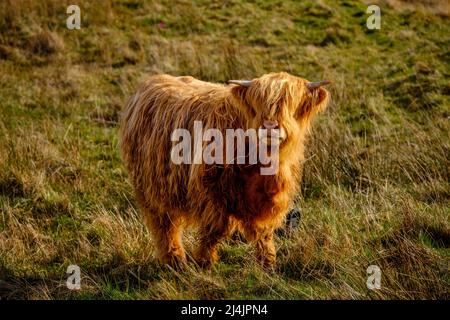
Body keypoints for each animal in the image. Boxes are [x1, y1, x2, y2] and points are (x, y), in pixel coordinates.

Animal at [119, 72, 330, 268]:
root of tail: (150, 82)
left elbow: (263, 231)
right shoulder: (211, 191)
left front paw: (268, 261)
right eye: (258, 104)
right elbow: (216, 229)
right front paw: (205, 260)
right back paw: (175, 260)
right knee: (164, 224)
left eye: (290, 103)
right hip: (151, 188)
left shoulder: (266, 197)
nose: (270, 127)